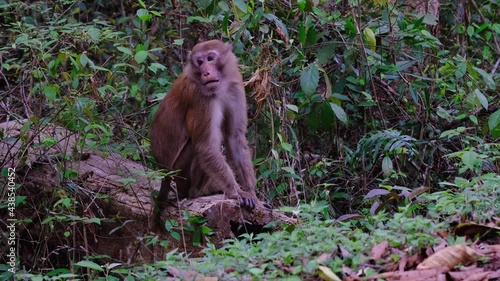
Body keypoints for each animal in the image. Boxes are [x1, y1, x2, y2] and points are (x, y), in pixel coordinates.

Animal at [150, 38, 256, 219]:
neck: (221, 86)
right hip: (180, 174)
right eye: (199, 62)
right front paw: (236, 192)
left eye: (210, 58)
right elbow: (206, 146)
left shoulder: (234, 86)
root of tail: (164, 172)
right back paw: (199, 191)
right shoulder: (200, 97)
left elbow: (235, 138)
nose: (206, 72)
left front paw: (252, 193)